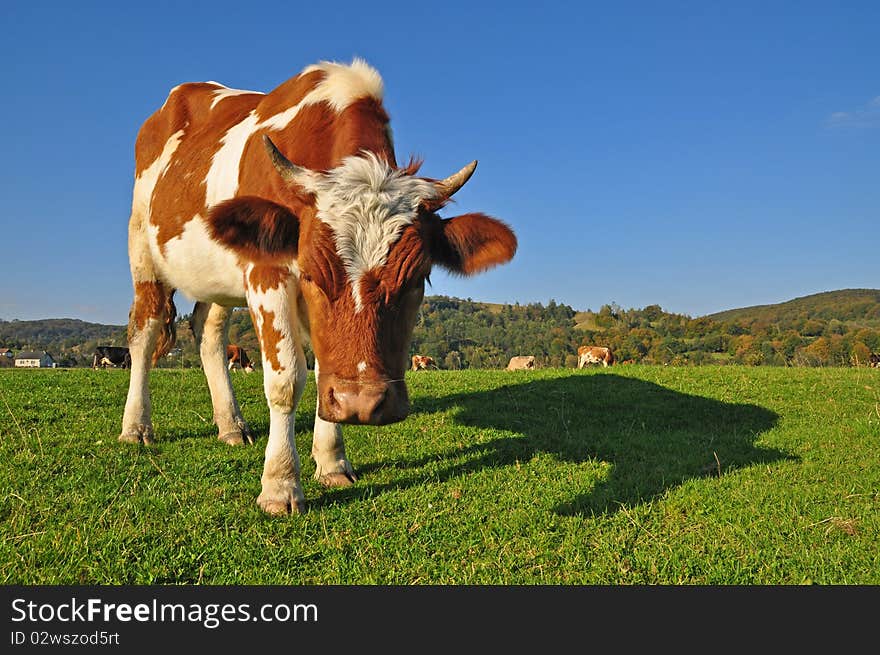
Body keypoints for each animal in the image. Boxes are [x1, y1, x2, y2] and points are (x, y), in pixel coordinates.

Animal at [117, 57, 516, 516]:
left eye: (418, 277)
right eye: (310, 273)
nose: (362, 404)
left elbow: (326, 369)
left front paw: (332, 461)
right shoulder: (267, 274)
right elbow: (287, 380)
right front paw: (279, 484)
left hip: (219, 273)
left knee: (209, 333)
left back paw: (230, 424)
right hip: (143, 250)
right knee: (144, 332)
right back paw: (136, 427)